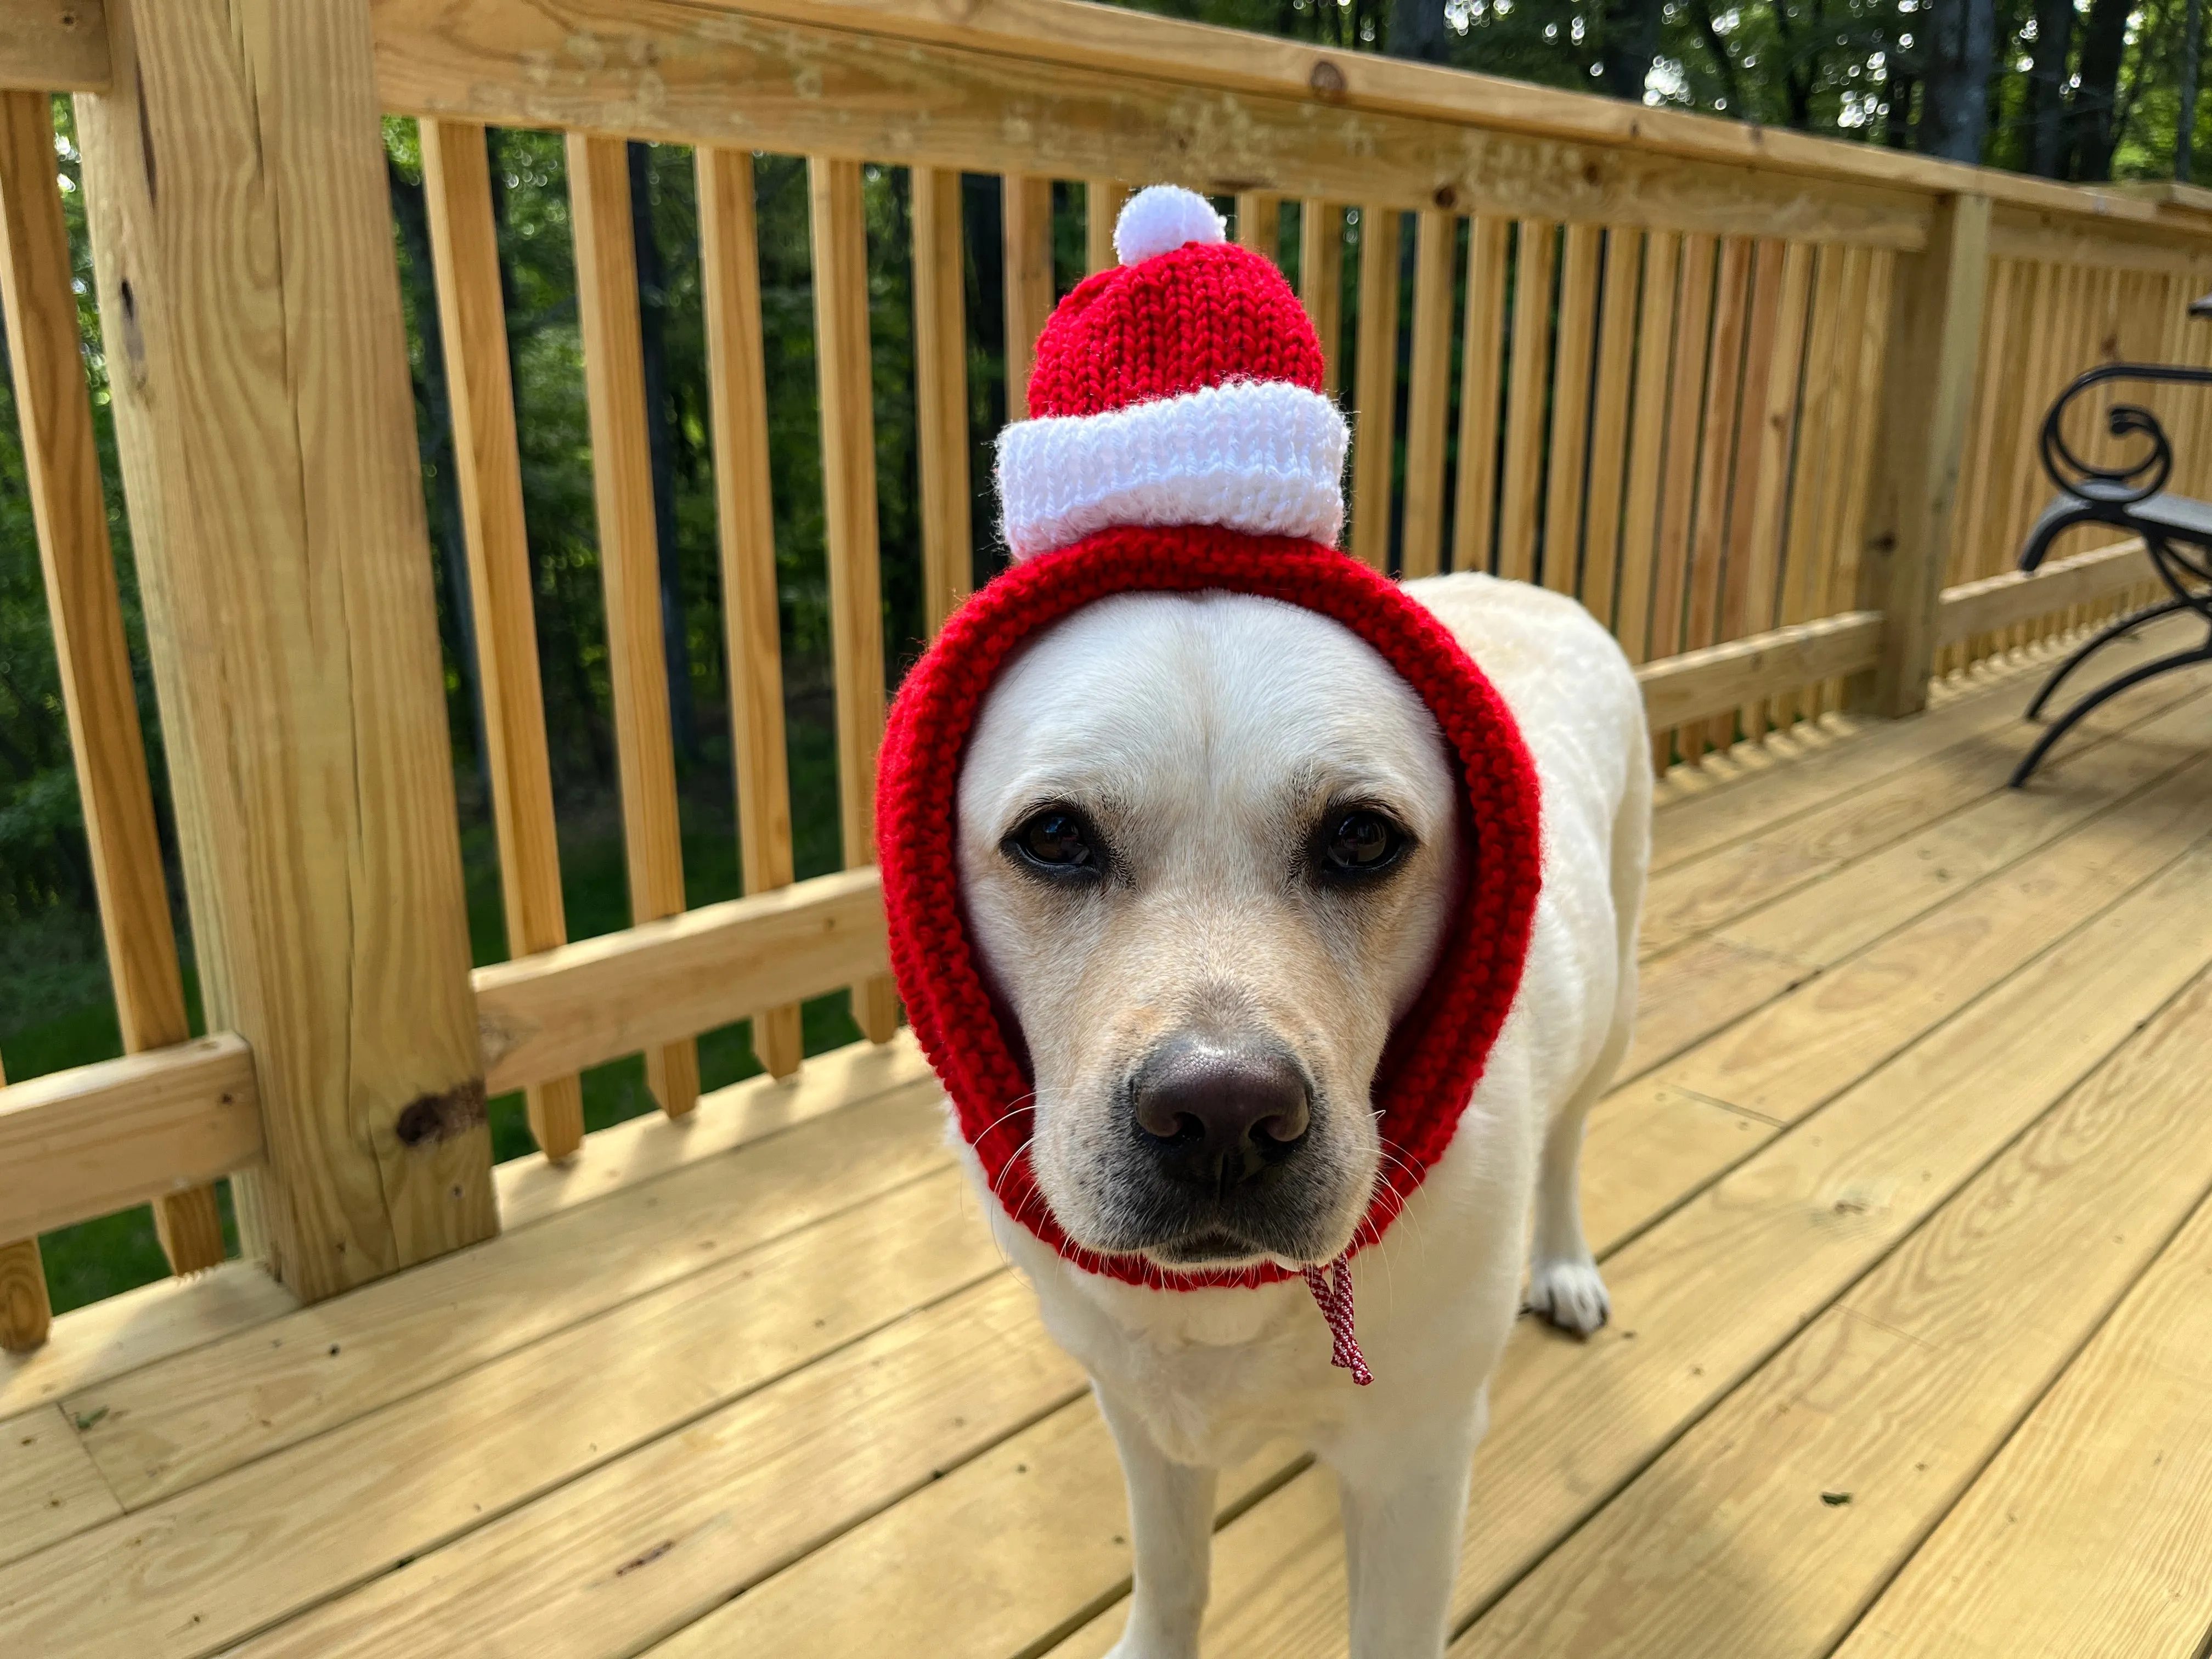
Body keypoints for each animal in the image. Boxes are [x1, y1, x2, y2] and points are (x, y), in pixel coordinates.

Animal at [960, 575, 1654, 1659]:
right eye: (1056, 837)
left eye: (1362, 837)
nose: (1221, 1114)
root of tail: (1517, 585)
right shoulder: (1138, 1414)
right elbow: (1170, 1574)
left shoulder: (1415, 1467)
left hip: (1615, 998)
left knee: (1569, 1139)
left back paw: (1565, 1263)